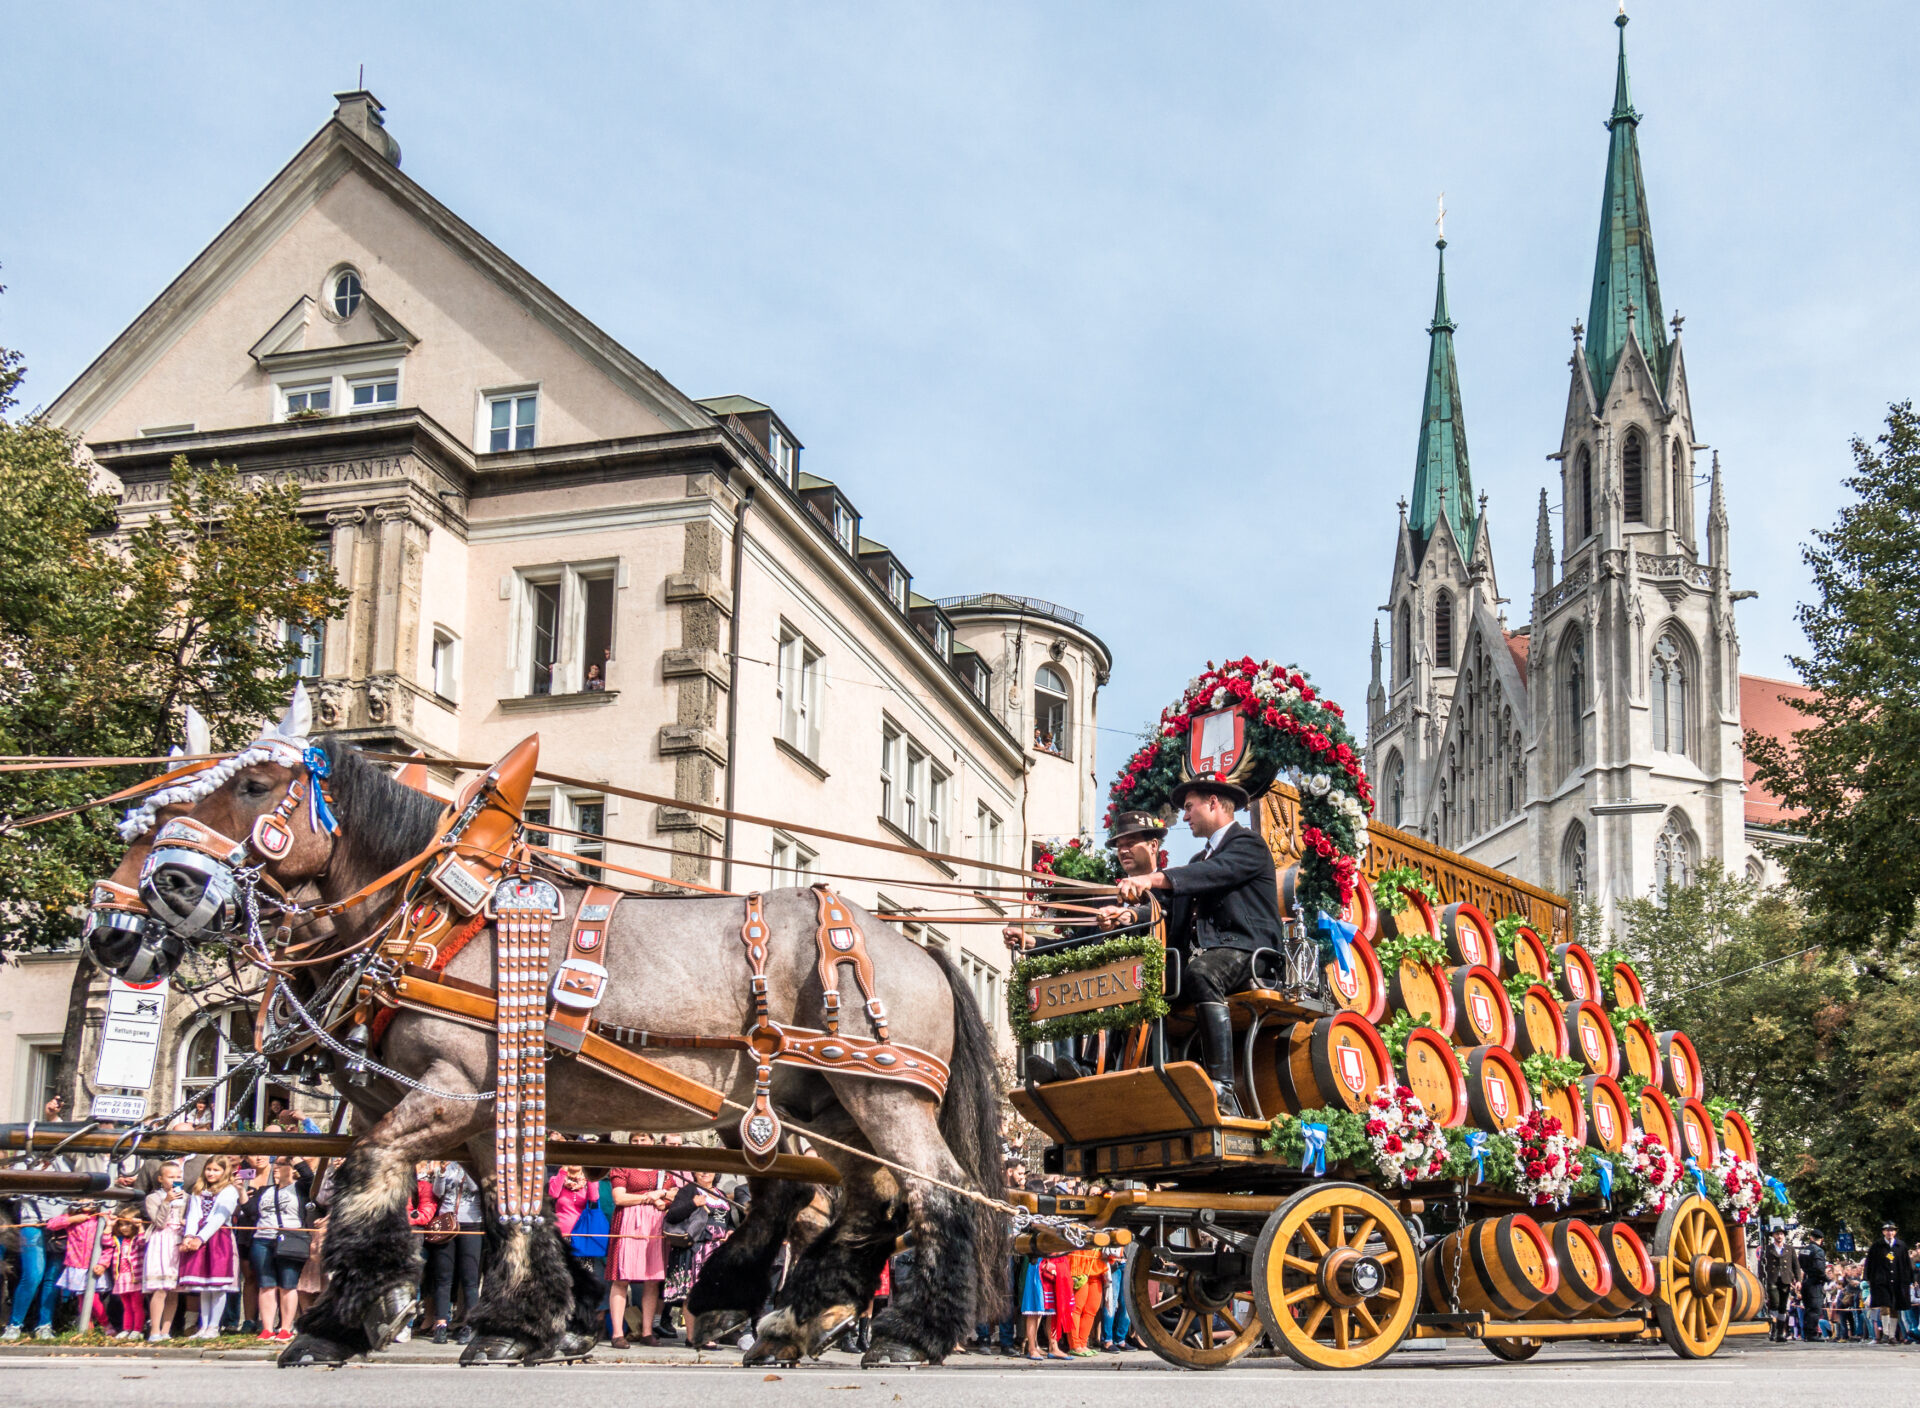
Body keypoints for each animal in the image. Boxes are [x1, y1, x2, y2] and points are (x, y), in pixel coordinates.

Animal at [93, 706, 1006, 1367]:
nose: (117, 925)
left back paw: (908, 1333)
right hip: (823, 1104)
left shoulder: (447, 1090)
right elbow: (510, 1206)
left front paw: (347, 1319)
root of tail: (912, 943)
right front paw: (535, 1320)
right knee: (862, 1198)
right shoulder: (474, 1110)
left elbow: (367, 1172)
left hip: (881, 1093)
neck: (436, 918)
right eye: (155, 807)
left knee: (939, 1192)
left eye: (253, 785)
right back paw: (787, 1317)